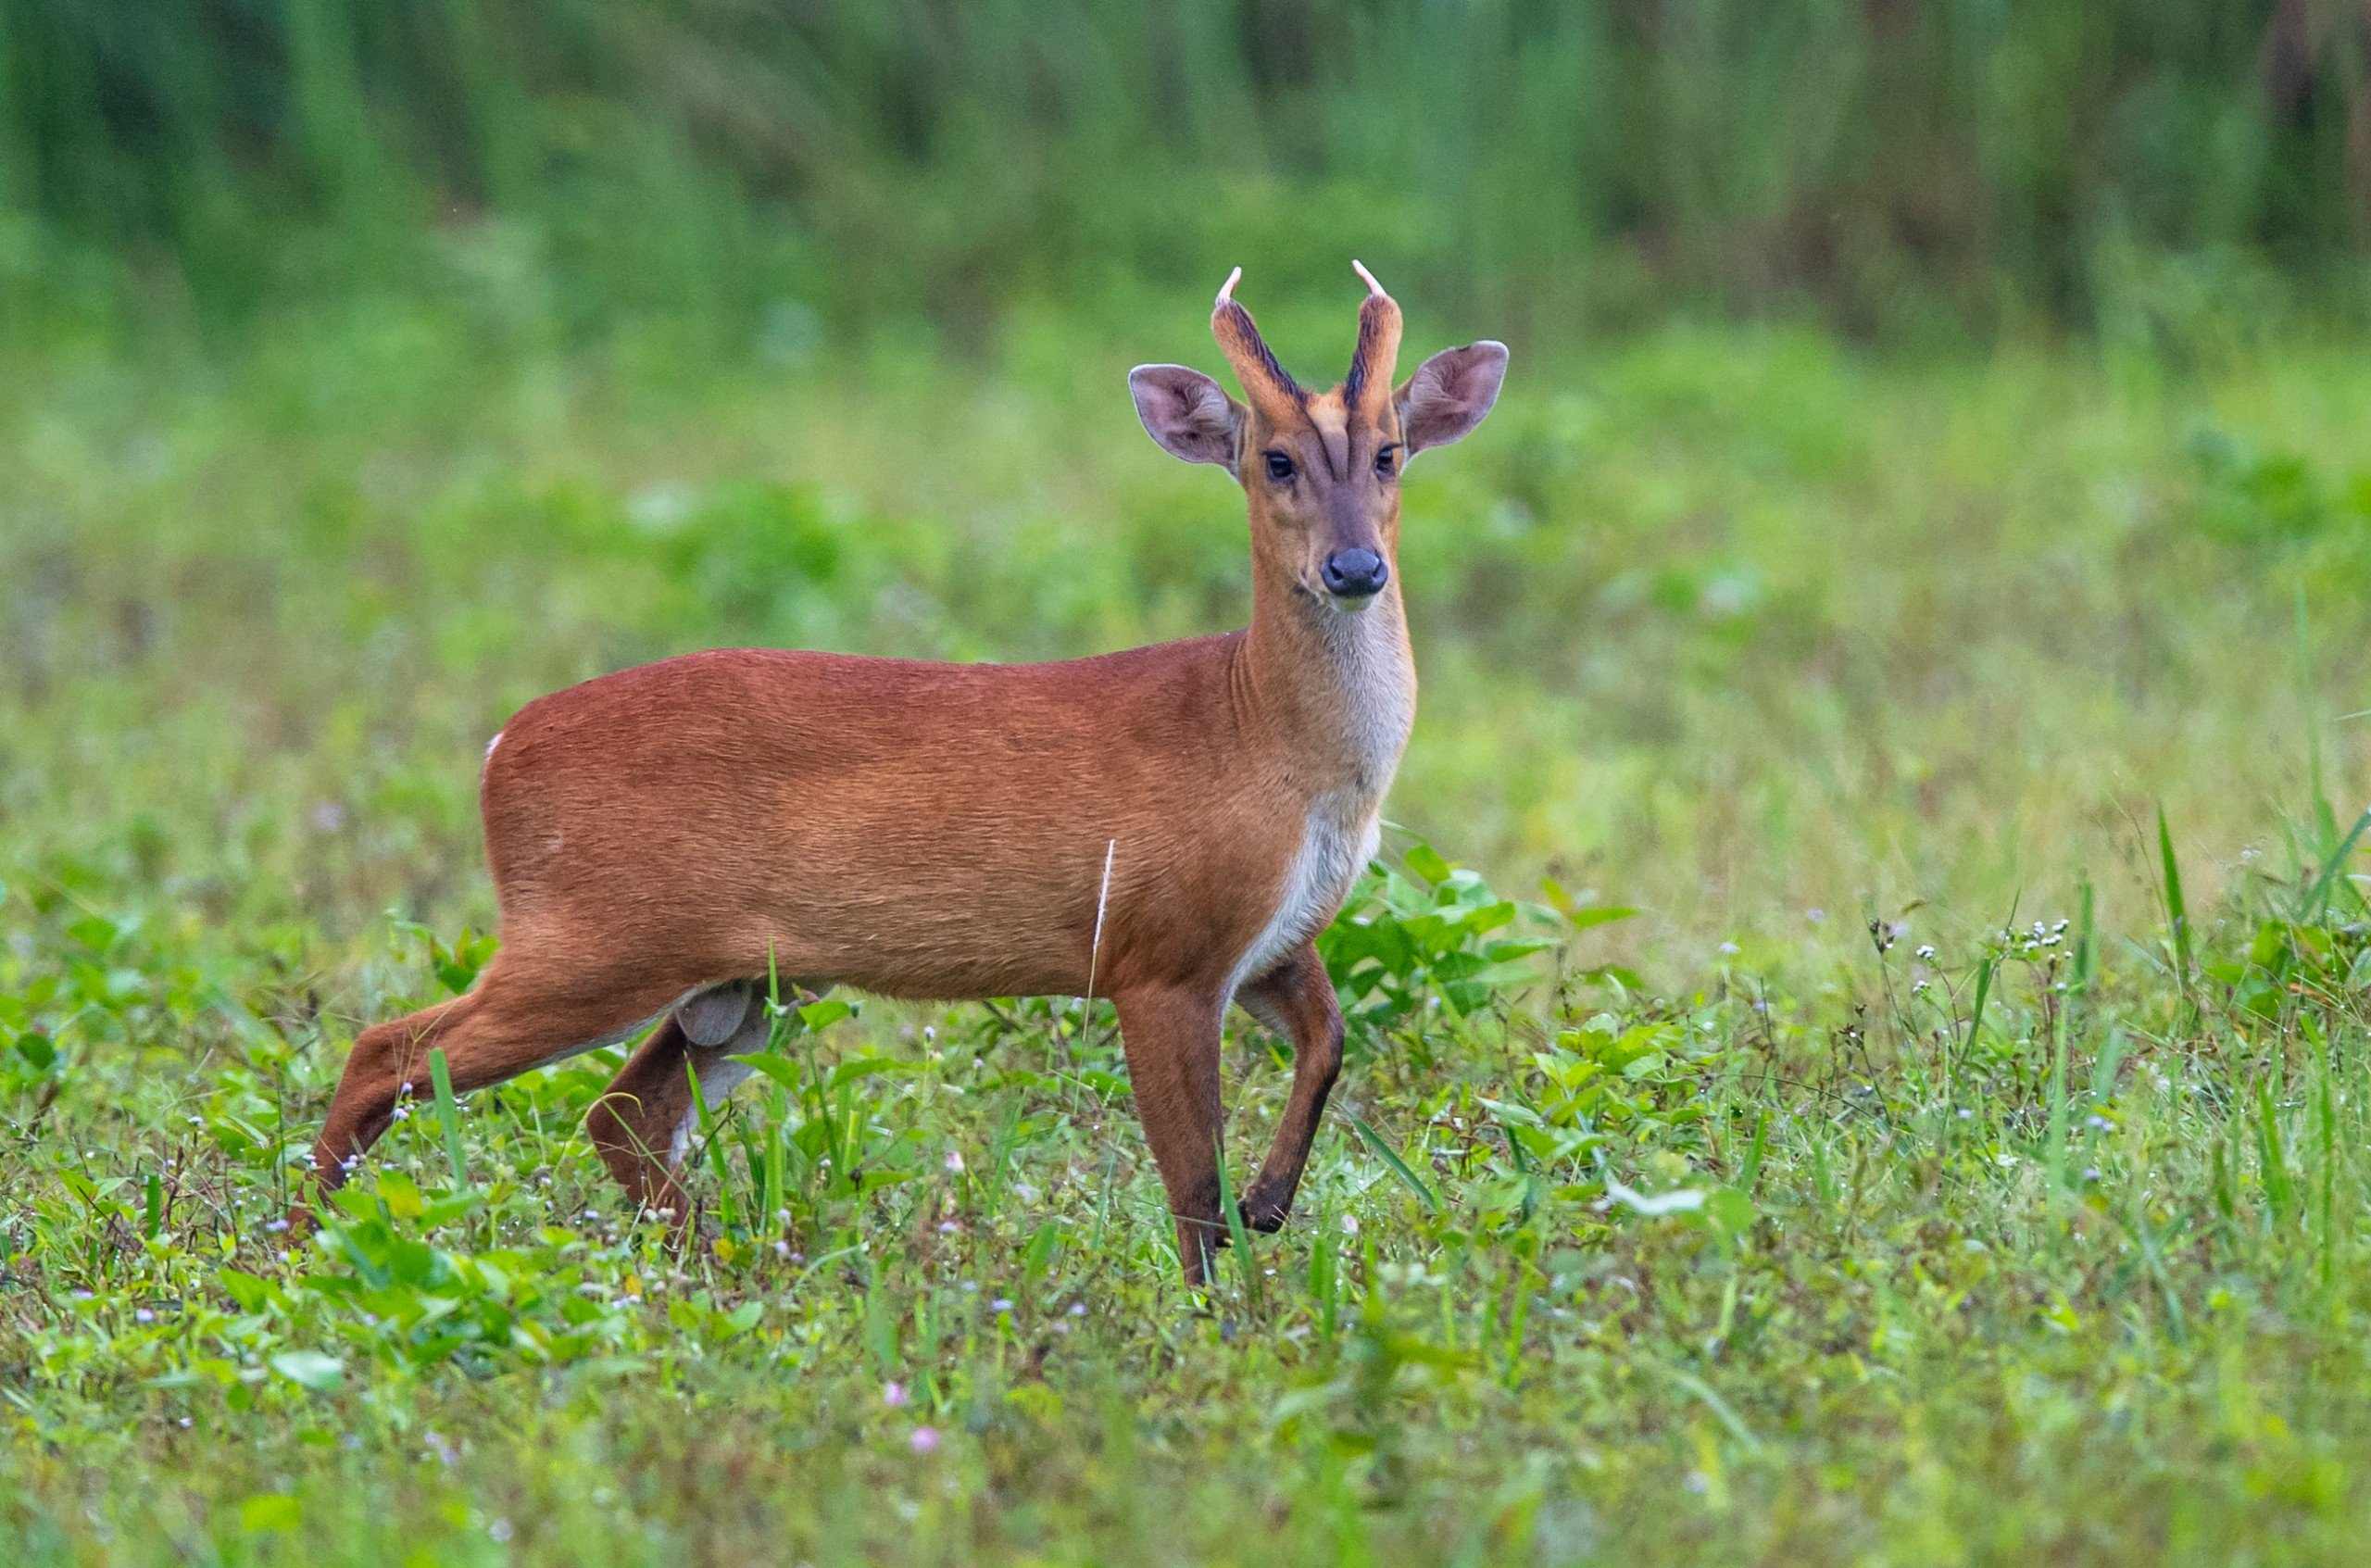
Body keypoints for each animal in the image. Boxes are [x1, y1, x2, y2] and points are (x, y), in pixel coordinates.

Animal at [306, 265, 1508, 1281]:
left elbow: (1328, 1049)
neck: (1269, 742)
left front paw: (1272, 1203)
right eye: (1274, 459)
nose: (1353, 567)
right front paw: (1221, 1325)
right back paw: (305, 1249)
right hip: (595, 933)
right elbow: (1189, 1190)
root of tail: (498, 750)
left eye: (1391, 451)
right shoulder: (1155, 951)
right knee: (386, 1049)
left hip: (742, 982)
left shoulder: (1269, 942)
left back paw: (722, 1268)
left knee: (618, 1114)